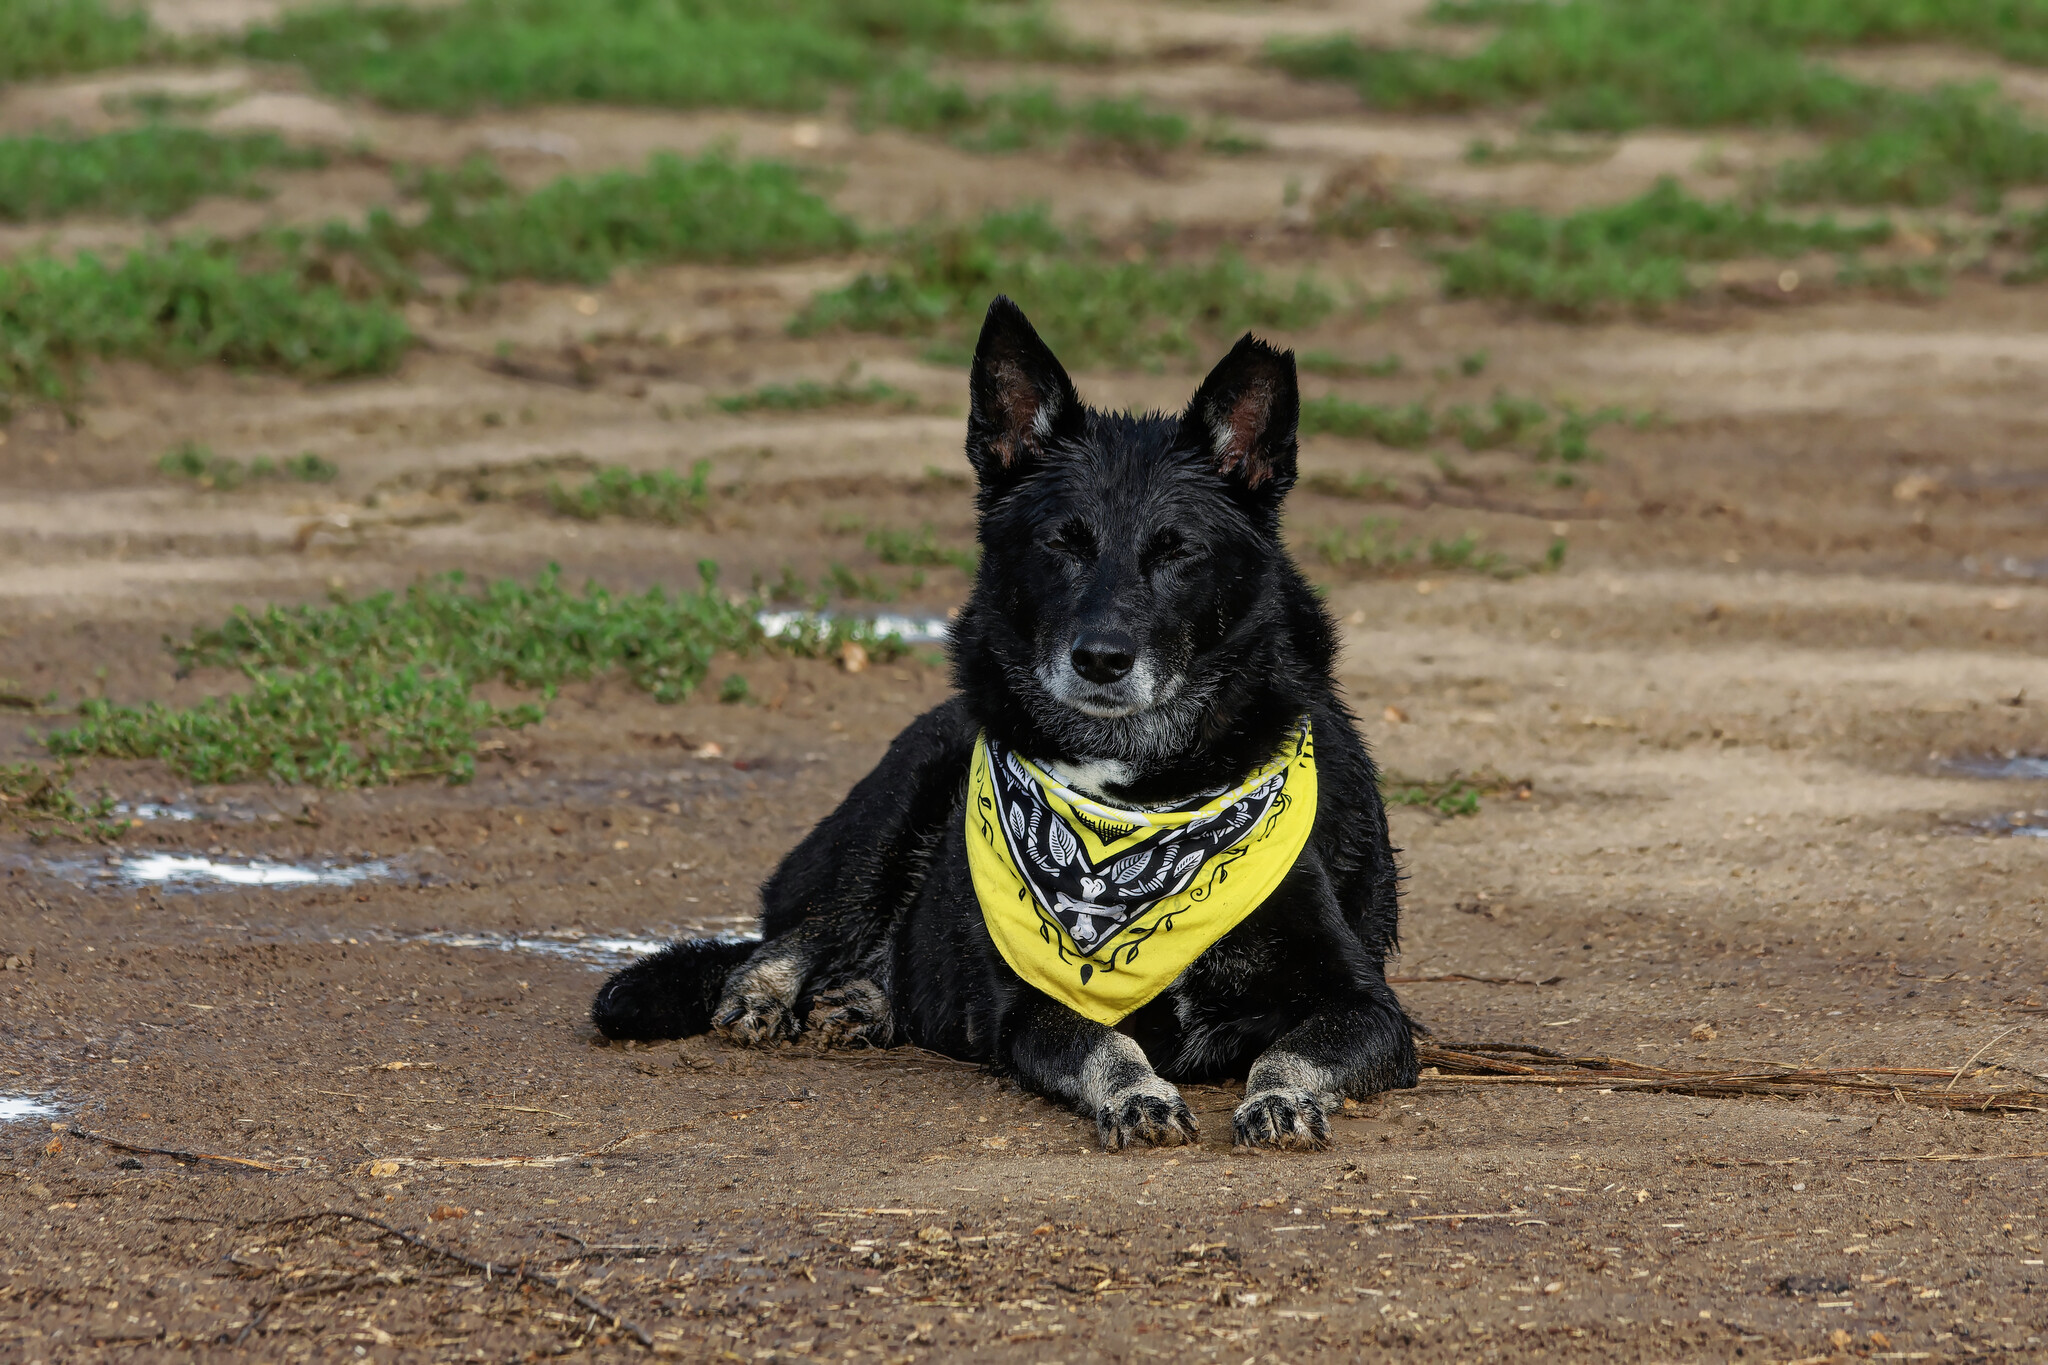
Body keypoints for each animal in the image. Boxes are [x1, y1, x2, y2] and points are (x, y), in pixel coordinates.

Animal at [593, 298, 1417, 1154]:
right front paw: (1138, 1096)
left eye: (1177, 551)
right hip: (903, 794)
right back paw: (768, 994)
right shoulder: (1032, 1004)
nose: (1101, 658)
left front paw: (1279, 1098)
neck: (1138, 800)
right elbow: (1103, 1044)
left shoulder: (1369, 1004)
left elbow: (1292, 1047)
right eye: (1062, 542)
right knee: (803, 929)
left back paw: (864, 1000)